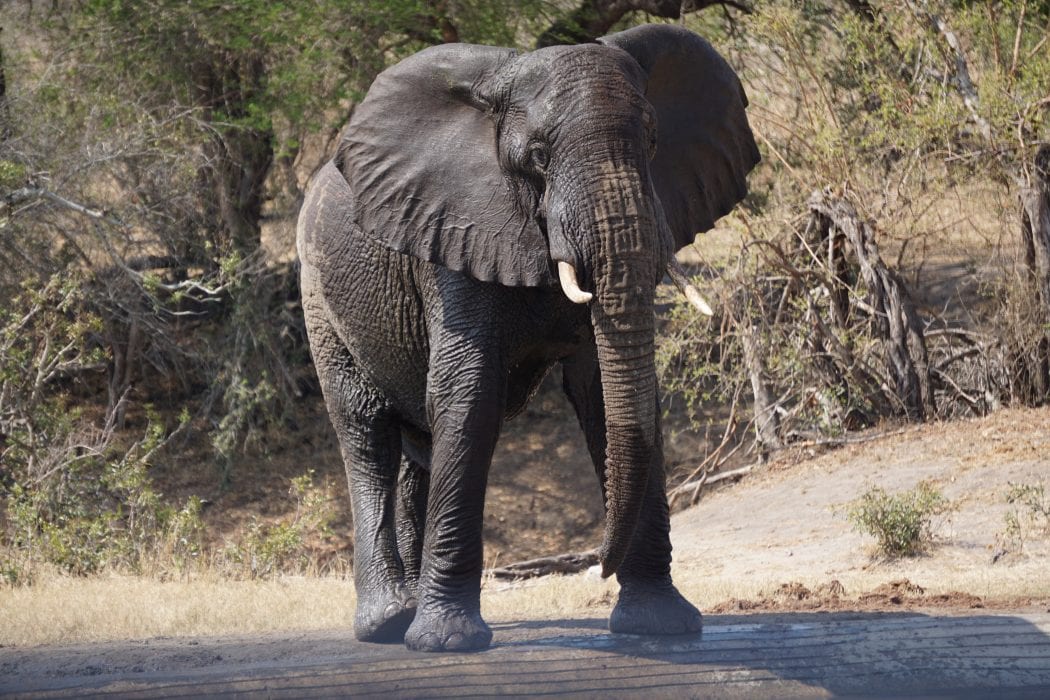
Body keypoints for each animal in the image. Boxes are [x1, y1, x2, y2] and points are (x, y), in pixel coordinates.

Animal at [300, 23, 760, 659]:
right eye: (539, 157)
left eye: (651, 141)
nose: (596, 565)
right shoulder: (453, 229)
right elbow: (469, 395)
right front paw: (448, 643)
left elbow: (607, 398)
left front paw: (661, 625)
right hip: (319, 295)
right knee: (367, 433)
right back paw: (389, 623)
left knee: (418, 445)